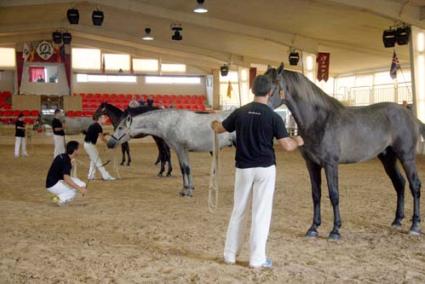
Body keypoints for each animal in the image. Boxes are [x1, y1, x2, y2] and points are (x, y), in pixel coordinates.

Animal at [106, 107, 235, 196]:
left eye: (120, 128)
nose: (109, 143)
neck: (171, 123)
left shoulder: (181, 148)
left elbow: (186, 169)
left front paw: (188, 192)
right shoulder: (179, 150)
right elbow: (184, 169)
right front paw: (185, 189)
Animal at [266, 63, 422, 239]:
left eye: (273, 84)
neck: (319, 120)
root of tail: (410, 115)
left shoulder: (330, 164)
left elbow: (334, 194)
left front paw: (335, 230)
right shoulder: (312, 164)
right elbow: (316, 194)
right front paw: (313, 228)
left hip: (406, 157)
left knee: (414, 185)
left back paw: (415, 226)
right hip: (388, 158)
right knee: (400, 184)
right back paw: (397, 221)